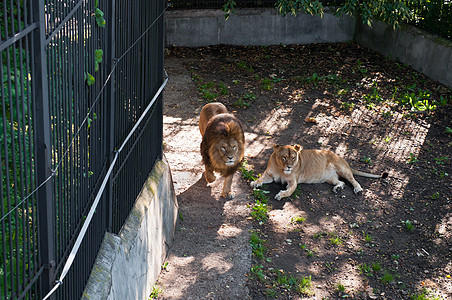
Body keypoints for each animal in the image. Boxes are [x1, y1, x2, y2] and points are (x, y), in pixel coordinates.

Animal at [249, 145, 386, 200]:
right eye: (284, 157)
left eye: (293, 158)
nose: (289, 166)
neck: (280, 169)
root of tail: (341, 157)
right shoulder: (269, 175)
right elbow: (261, 178)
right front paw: (255, 182)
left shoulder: (293, 182)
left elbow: (289, 191)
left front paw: (280, 194)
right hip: (330, 178)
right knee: (341, 182)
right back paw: (338, 188)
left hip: (342, 169)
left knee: (353, 180)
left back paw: (358, 189)